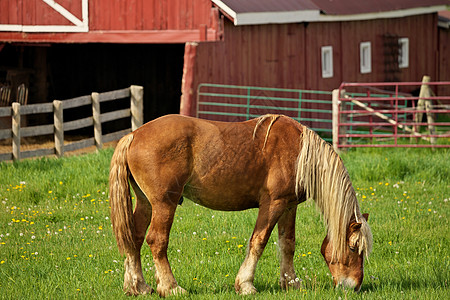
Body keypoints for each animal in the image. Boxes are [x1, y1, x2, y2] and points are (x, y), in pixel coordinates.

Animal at [109, 113, 372, 296]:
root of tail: (133, 135)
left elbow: (287, 244)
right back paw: (171, 287)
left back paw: (138, 287)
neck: (300, 154)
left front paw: (291, 283)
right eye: (353, 248)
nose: (354, 286)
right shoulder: (273, 204)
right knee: (157, 241)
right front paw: (245, 285)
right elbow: (258, 242)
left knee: (134, 238)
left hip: (146, 203)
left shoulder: (289, 206)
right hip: (164, 203)